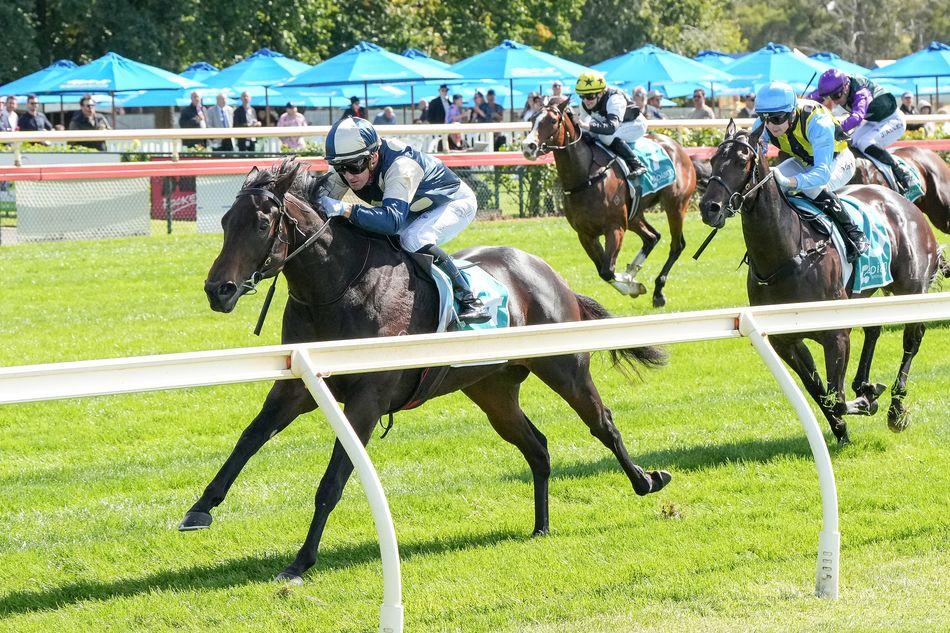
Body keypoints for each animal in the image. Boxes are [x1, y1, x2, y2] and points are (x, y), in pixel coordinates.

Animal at [186, 158, 672, 584]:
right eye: (225, 221)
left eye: (261, 224)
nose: (217, 290)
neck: (340, 288)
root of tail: (548, 273)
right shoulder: (297, 388)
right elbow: (248, 439)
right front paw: (200, 508)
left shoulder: (366, 401)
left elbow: (333, 481)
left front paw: (300, 562)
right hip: (493, 390)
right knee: (537, 447)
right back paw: (541, 526)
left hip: (564, 369)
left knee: (602, 423)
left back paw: (647, 480)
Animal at [520, 94, 700, 308]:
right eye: (532, 120)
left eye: (553, 121)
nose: (528, 146)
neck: (586, 177)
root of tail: (678, 148)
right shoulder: (586, 234)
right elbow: (603, 271)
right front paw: (630, 281)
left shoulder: (615, 228)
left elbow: (608, 270)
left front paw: (631, 284)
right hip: (634, 215)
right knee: (652, 236)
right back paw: (633, 271)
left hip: (676, 206)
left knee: (676, 245)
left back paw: (658, 292)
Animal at [700, 119, 944, 444]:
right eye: (713, 159)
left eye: (742, 161)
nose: (709, 207)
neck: (787, 255)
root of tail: (903, 201)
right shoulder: (784, 340)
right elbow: (818, 392)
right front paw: (843, 428)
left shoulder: (836, 335)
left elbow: (835, 397)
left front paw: (866, 401)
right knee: (874, 328)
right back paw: (864, 383)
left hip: (912, 289)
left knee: (912, 341)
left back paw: (895, 408)